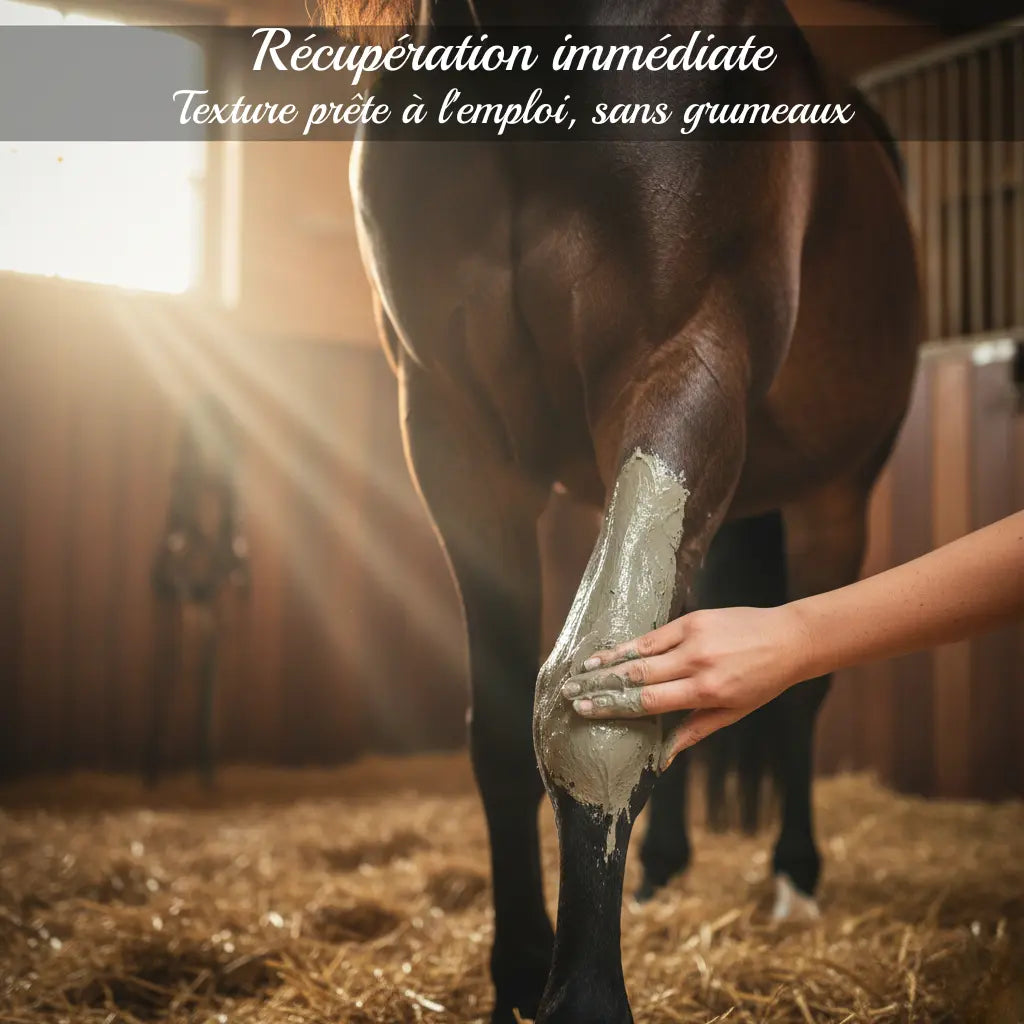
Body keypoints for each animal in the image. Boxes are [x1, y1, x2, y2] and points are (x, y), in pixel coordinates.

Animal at [335, 0, 921, 1020]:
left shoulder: (687, 357)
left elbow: (590, 718)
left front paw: (580, 992)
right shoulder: (451, 433)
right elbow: (505, 722)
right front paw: (519, 974)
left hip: (833, 500)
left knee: (798, 696)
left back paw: (794, 881)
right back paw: (663, 869)